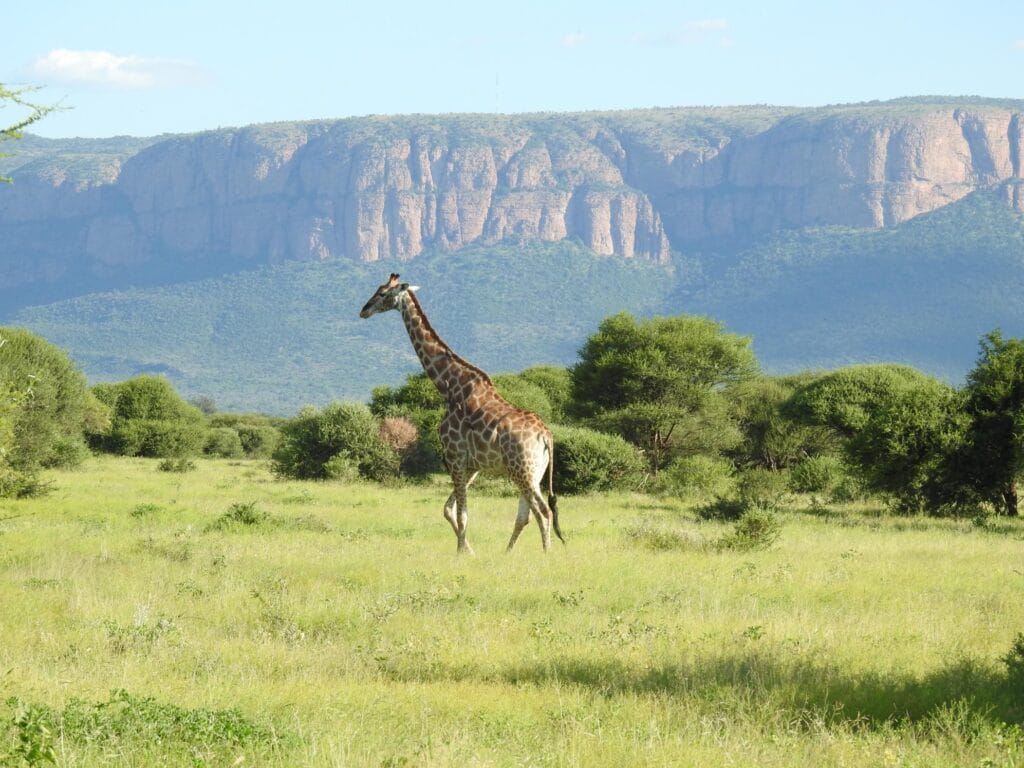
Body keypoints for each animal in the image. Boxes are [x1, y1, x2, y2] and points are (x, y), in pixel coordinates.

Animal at [359, 273, 564, 554]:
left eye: (382, 293)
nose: (364, 310)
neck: (449, 386)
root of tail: (547, 437)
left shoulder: (454, 455)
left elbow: (461, 513)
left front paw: (460, 554)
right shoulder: (472, 465)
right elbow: (448, 509)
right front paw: (470, 551)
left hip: (522, 470)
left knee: (542, 512)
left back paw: (546, 555)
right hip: (532, 472)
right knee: (526, 515)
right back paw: (507, 554)